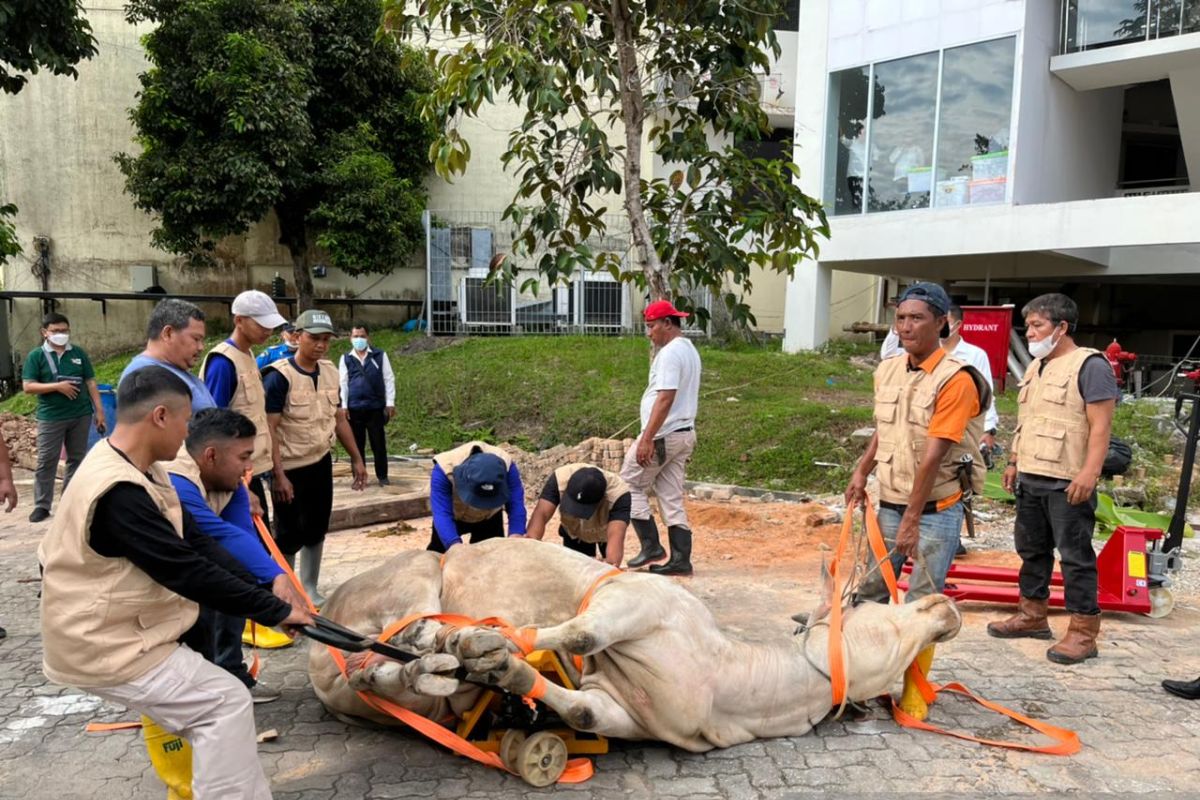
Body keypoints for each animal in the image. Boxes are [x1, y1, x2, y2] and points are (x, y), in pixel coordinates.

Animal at [312, 537, 964, 753]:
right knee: (403, 622)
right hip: (412, 577)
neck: (728, 679)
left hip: (400, 698)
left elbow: (577, 710)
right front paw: (500, 641)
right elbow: (581, 631)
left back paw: (424, 663)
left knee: (384, 679)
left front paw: (507, 673)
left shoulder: (620, 712)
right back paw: (445, 638)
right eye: (874, 606)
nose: (947, 609)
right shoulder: (638, 598)